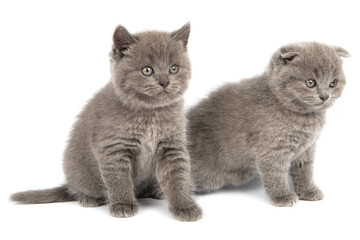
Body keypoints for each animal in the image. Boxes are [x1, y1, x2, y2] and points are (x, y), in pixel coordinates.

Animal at [11, 23, 202, 220]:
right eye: (147, 70)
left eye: (174, 68)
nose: (164, 82)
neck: (151, 114)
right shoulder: (113, 147)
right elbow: (118, 178)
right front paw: (123, 204)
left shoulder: (172, 146)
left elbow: (178, 177)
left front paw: (185, 206)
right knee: (80, 189)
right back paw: (89, 198)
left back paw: (156, 191)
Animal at [187, 42, 350, 206]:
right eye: (310, 83)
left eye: (333, 83)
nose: (325, 96)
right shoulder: (271, 149)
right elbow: (275, 173)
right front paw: (282, 196)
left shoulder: (306, 149)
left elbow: (305, 170)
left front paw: (308, 191)